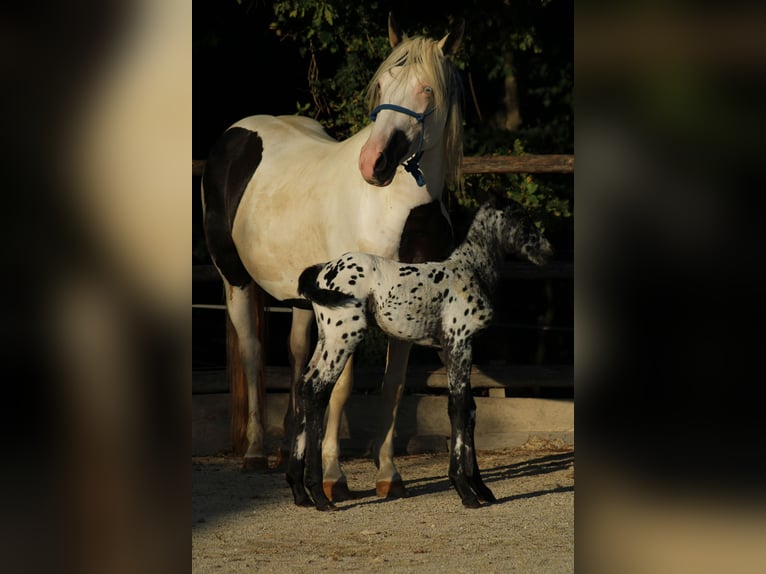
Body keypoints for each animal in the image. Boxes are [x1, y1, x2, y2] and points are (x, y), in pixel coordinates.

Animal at [201, 14, 465, 500]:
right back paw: (256, 452)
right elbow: (343, 388)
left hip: (302, 297)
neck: (394, 207)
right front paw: (332, 476)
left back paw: (288, 452)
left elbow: (392, 387)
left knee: (296, 357)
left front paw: (387, 474)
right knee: (252, 353)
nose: (373, 164)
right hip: (235, 280)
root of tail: (234, 135)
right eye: (383, 84)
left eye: (427, 89)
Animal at [287, 198, 554, 510]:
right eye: (522, 219)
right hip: (343, 339)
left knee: (303, 388)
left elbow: (470, 409)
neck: (469, 270)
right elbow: (458, 408)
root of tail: (323, 271)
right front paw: (465, 491)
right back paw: (320, 495)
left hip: (326, 339)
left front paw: (481, 488)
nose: (548, 251)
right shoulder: (459, 343)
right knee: (317, 391)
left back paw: (300, 492)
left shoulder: (454, 350)